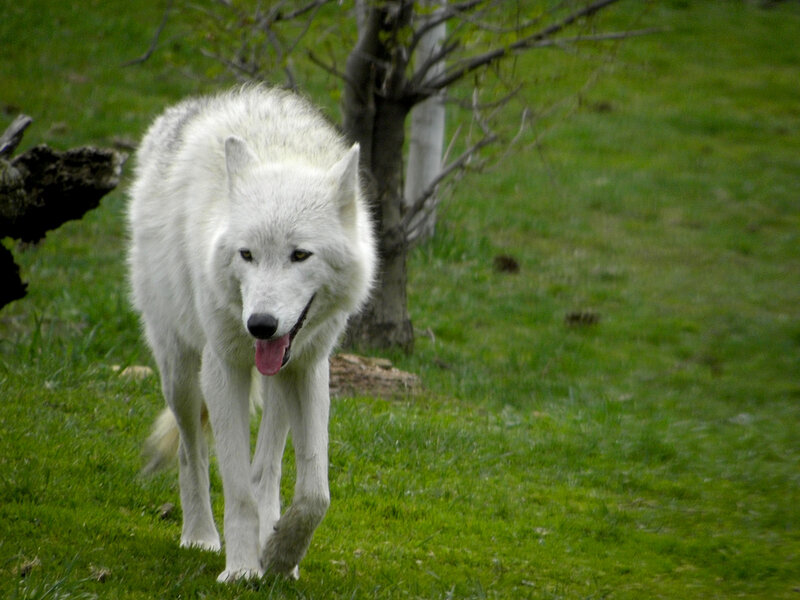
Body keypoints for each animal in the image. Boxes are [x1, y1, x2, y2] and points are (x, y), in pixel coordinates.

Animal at [127, 86, 376, 582]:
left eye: (300, 255)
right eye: (246, 254)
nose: (259, 324)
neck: (282, 149)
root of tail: (178, 112)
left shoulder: (309, 367)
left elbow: (314, 494)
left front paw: (279, 557)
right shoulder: (224, 368)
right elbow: (238, 490)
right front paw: (242, 568)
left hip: (278, 381)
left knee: (267, 470)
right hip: (181, 373)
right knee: (191, 453)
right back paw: (200, 536)